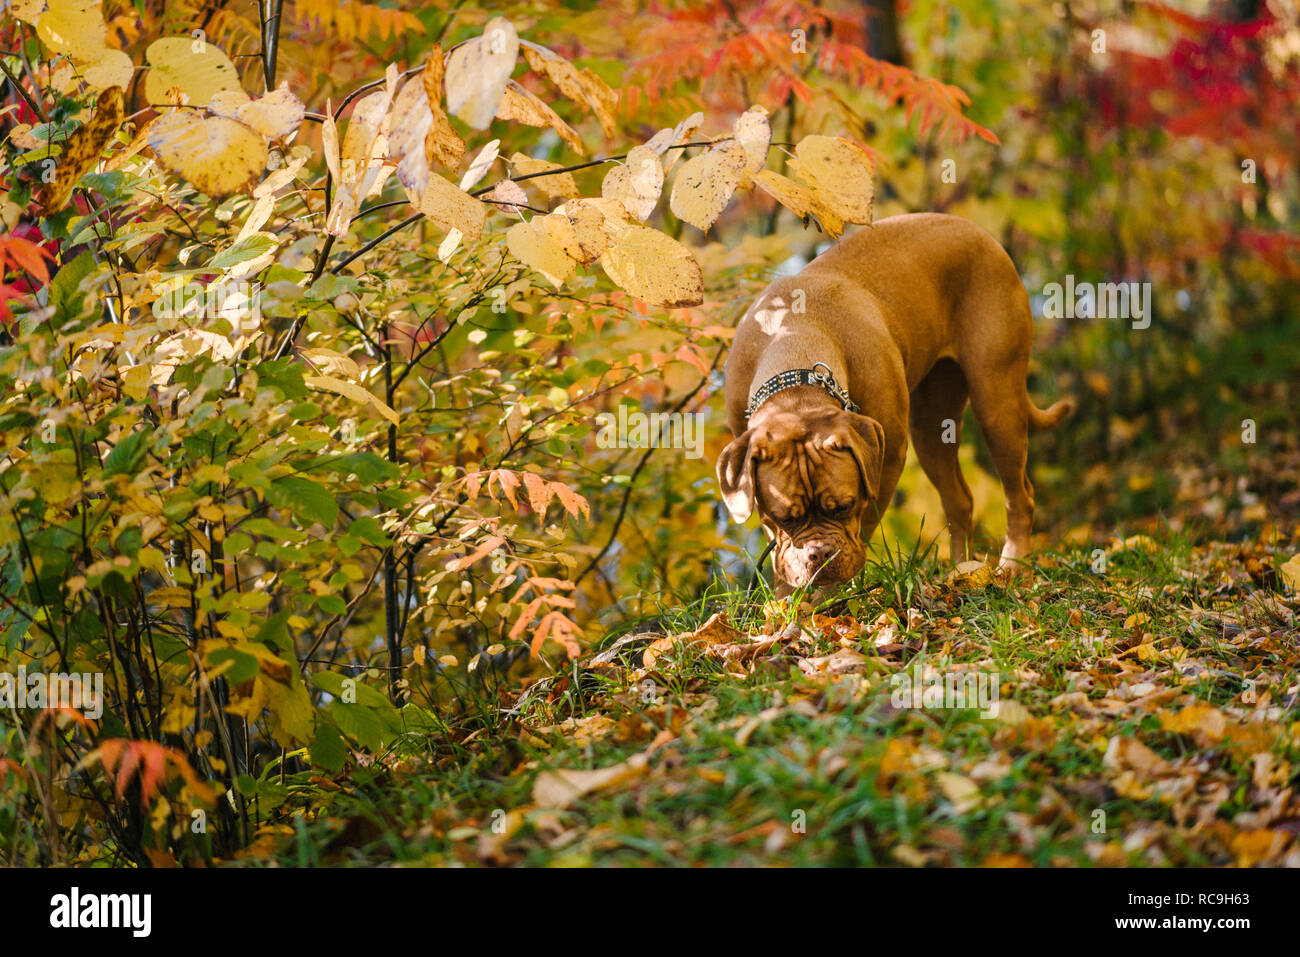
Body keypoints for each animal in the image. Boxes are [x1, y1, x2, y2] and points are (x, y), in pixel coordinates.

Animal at [717, 210, 1071, 590]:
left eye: (843, 506)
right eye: (784, 518)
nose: (820, 556)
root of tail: (978, 231)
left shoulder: (884, 464)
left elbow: (863, 528)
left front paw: (830, 593)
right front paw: (788, 593)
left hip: (997, 401)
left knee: (1020, 495)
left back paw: (1013, 564)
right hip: (932, 426)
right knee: (959, 498)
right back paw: (962, 571)